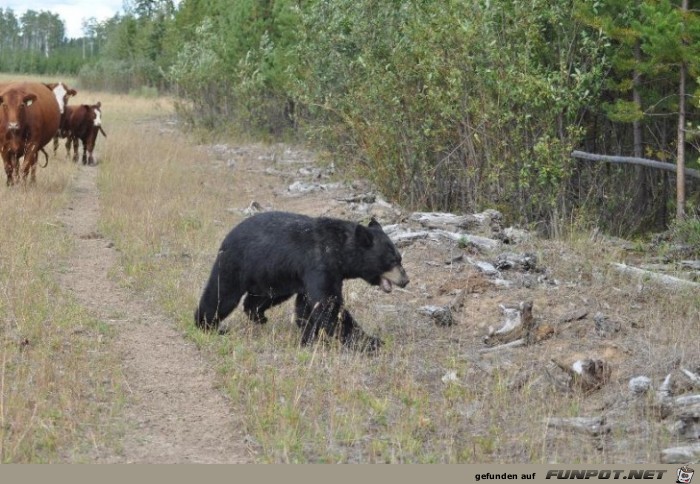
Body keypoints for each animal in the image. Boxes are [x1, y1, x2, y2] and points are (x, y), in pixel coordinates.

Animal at [193, 212, 410, 352]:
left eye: (400, 258)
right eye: (393, 260)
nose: (406, 280)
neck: (340, 251)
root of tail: (228, 237)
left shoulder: (323, 273)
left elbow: (307, 306)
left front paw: (308, 338)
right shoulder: (319, 264)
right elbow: (328, 305)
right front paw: (372, 342)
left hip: (272, 275)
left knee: (260, 298)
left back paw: (258, 316)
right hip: (238, 263)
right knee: (222, 294)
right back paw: (207, 325)